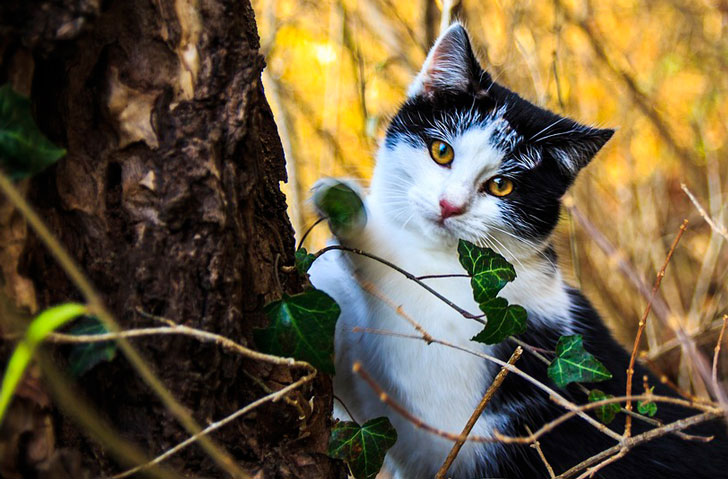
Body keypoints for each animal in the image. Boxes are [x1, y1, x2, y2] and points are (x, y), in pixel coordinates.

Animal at [308, 22, 728, 479]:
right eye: (442, 151)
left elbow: (390, 274)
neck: (437, 256)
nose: (450, 205)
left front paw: (344, 206)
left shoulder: (446, 428)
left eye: (501, 186)